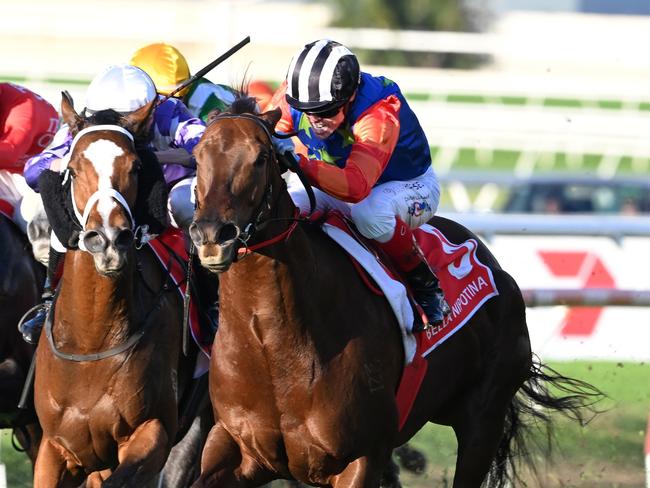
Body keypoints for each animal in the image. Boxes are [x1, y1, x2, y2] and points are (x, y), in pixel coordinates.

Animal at [187, 97, 596, 486]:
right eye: (198, 156)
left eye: (260, 157)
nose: (212, 236)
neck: (272, 346)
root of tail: (493, 264)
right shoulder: (233, 446)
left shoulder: (362, 457)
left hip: (484, 419)